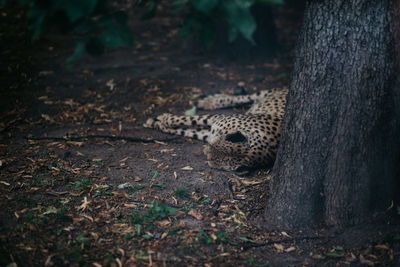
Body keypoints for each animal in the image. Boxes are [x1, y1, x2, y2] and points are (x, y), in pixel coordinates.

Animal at [144, 87, 288, 173]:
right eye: (212, 147)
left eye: (212, 160)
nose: (205, 151)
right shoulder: (217, 118)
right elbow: (190, 120)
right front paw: (160, 119)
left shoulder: (210, 132)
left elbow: (187, 130)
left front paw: (158, 123)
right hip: (264, 93)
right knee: (243, 97)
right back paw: (209, 101)